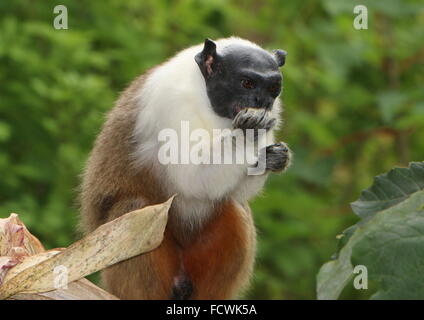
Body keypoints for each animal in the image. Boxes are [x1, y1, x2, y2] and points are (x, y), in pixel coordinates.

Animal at [79, 37, 292, 300]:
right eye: (247, 83)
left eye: (272, 89)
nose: (262, 102)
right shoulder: (171, 102)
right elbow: (190, 178)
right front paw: (248, 131)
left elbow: (236, 192)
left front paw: (273, 158)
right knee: (134, 209)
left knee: (235, 208)